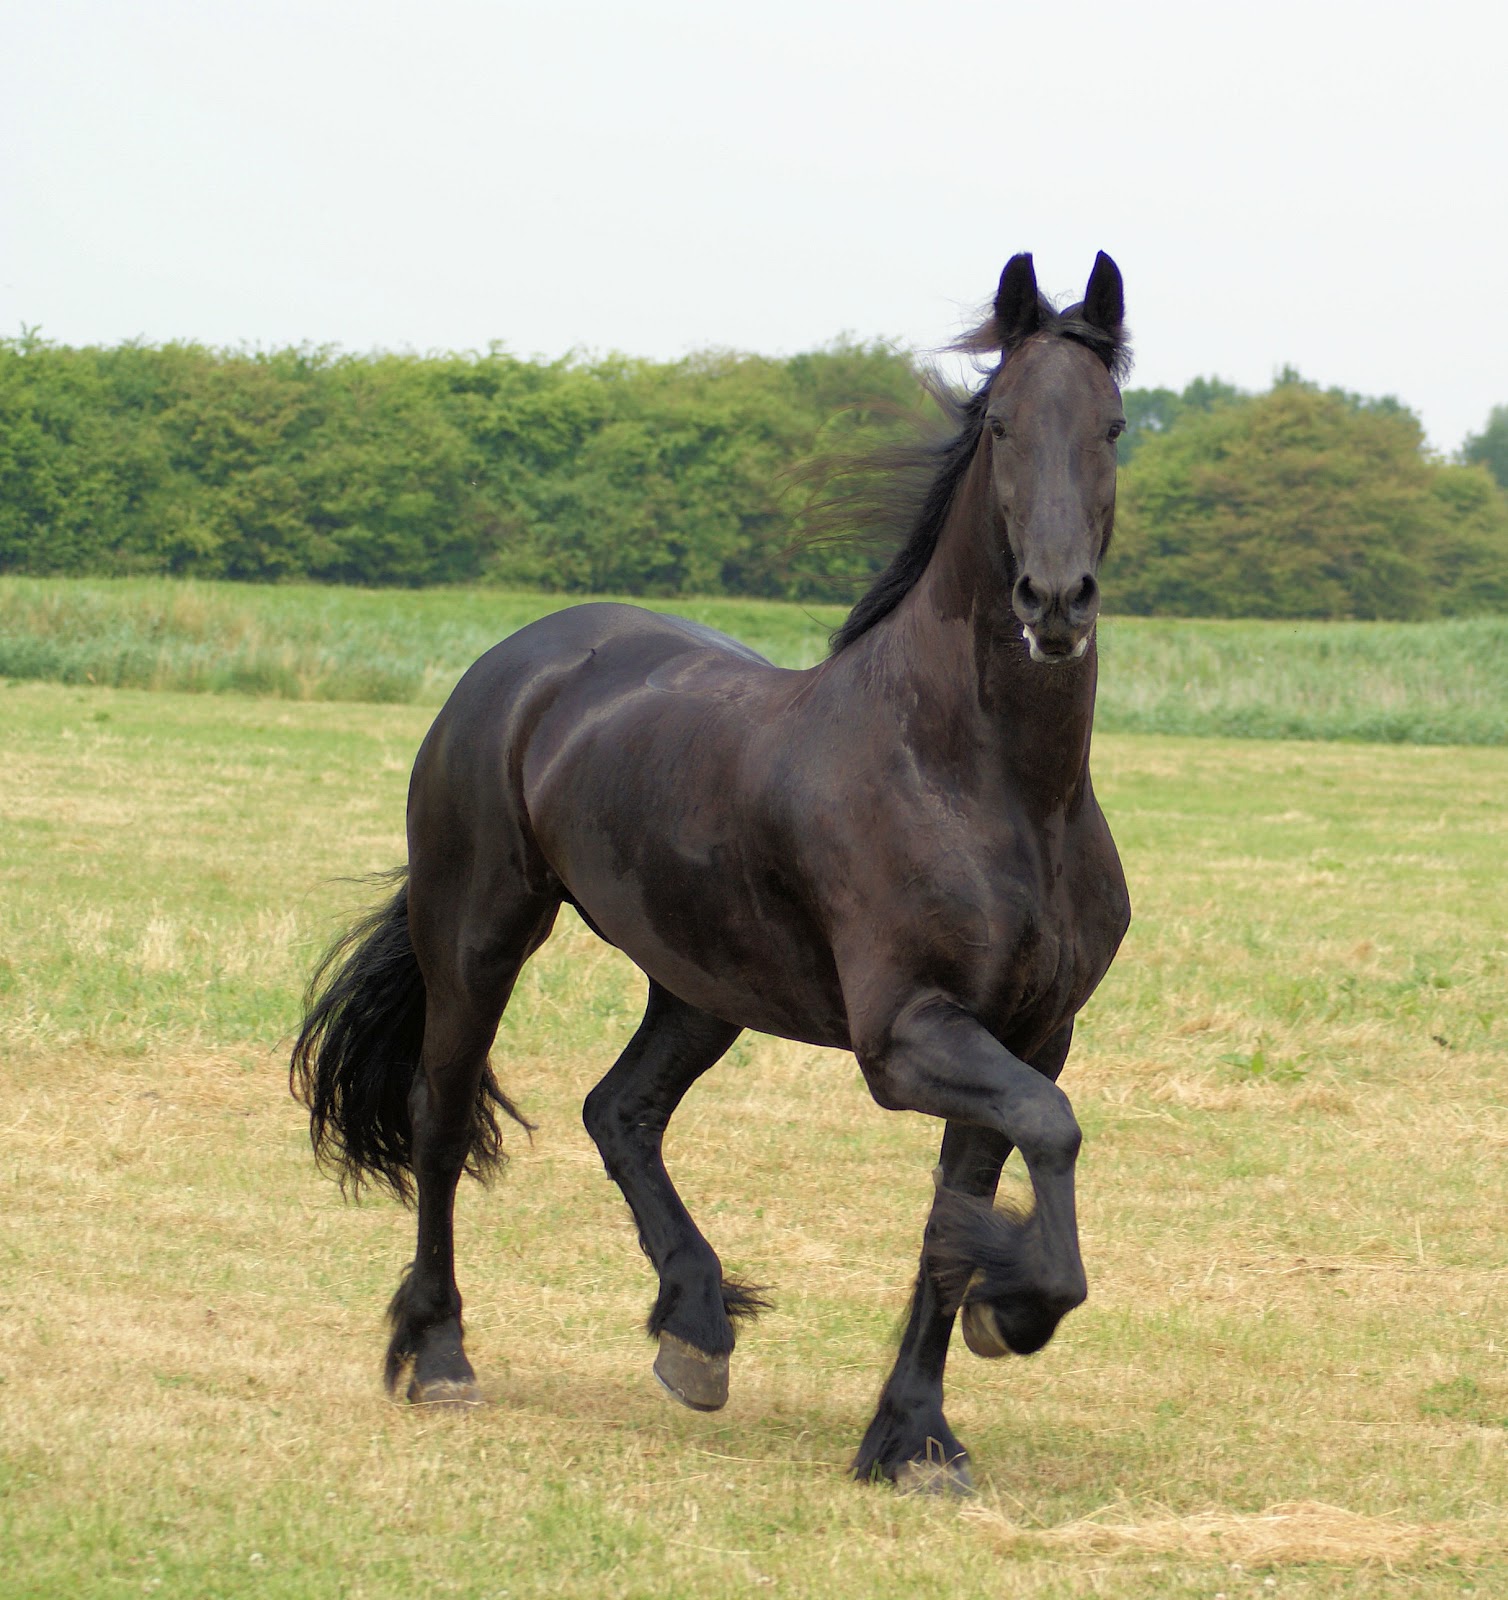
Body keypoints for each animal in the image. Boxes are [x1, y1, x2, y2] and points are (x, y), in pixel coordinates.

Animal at [292, 249, 1133, 1484]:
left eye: (1113, 426)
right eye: (1000, 427)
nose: (1055, 601)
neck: (991, 786)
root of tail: (517, 662)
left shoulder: (1029, 1030)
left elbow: (958, 1207)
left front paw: (915, 1433)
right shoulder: (906, 1036)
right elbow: (1051, 1131)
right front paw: (1011, 1309)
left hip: (698, 984)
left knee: (620, 1111)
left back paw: (694, 1329)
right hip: (481, 932)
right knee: (442, 1118)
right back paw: (440, 1354)